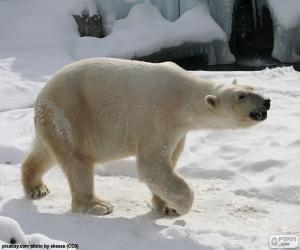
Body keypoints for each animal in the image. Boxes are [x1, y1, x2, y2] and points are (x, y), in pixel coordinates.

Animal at [20, 57, 270, 216]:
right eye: (241, 96)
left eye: (252, 87)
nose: (266, 101)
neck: (184, 97)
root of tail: (42, 94)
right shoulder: (160, 115)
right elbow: (152, 164)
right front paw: (181, 206)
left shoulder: (179, 129)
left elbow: (168, 161)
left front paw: (165, 206)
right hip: (70, 112)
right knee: (77, 161)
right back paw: (98, 205)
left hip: (55, 120)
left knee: (46, 152)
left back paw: (36, 187)